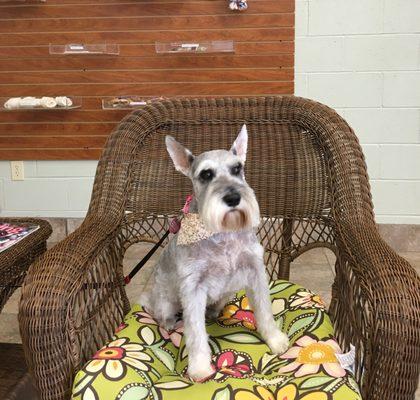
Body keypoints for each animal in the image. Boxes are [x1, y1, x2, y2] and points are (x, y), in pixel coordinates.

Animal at [139, 125, 290, 382]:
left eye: (237, 168)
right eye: (206, 174)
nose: (233, 198)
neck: (222, 233)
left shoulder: (255, 271)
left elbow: (264, 310)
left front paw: (275, 339)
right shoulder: (193, 288)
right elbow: (195, 331)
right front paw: (200, 367)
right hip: (165, 300)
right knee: (163, 313)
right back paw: (169, 323)